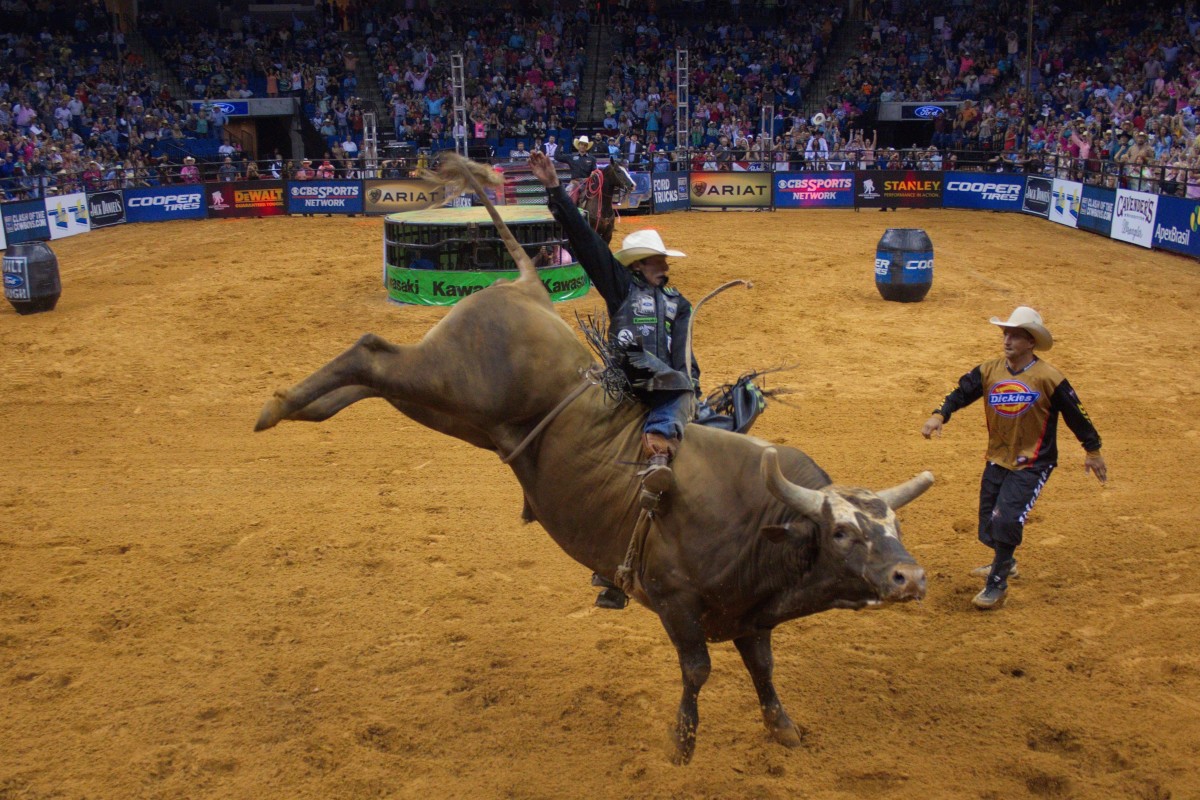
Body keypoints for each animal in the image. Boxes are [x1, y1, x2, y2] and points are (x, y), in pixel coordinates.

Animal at [255, 154, 936, 762]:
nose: (910, 577)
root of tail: (527, 287)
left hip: (456, 413)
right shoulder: (677, 602)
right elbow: (698, 670)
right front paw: (682, 744)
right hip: (449, 384)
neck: (761, 515)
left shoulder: (751, 615)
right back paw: (276, 407)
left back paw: (304, 408)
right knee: (372, 349)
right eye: (843, 532)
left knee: (373, 372)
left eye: (896, 527)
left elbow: (763, 668)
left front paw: (783, 727)